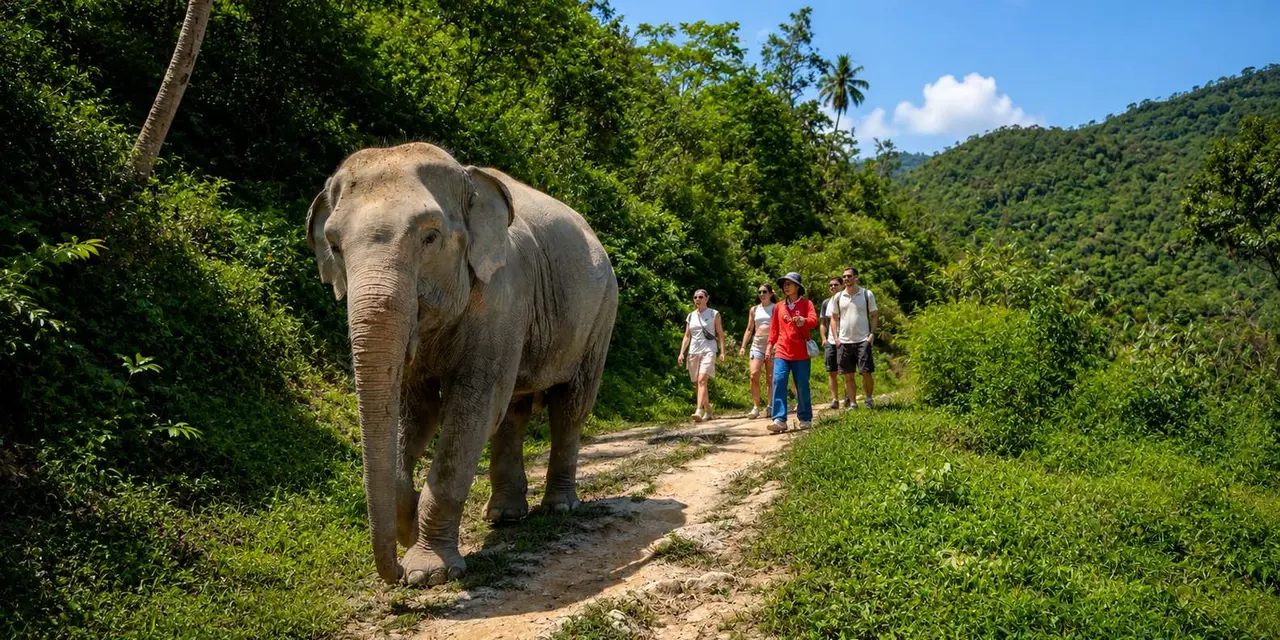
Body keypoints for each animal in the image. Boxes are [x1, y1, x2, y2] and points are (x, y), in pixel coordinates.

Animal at [306, 142, 618, 586]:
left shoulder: (504, 294)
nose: (394, 573)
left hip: (601, 313)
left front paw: (428, 573)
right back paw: (504, 517)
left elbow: (472, 407)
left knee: (569, 406)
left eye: (430, 237)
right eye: (333, 245)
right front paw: (407, 528)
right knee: (514, 410)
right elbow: (416, 410)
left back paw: (560, 508)